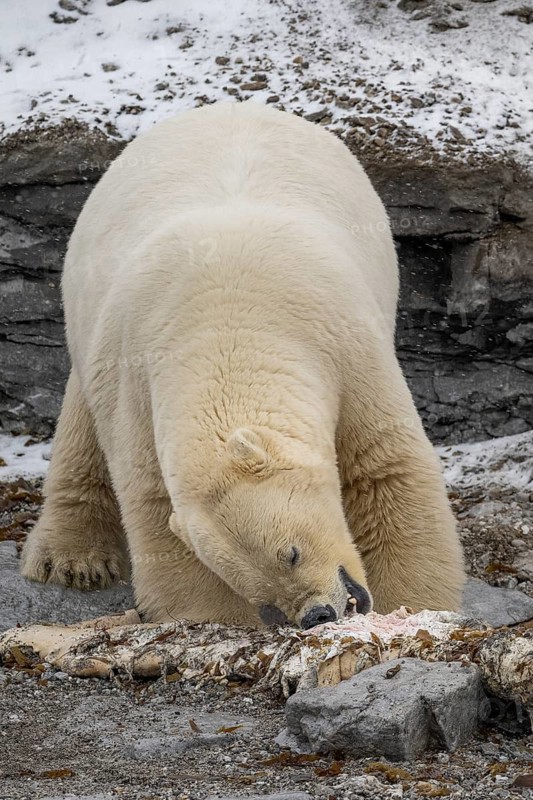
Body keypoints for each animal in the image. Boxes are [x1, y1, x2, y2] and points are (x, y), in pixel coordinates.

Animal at [21, 102, 465, 628]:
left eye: (291, 552)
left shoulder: (343, 345)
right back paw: (72, 561)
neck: (228, 331)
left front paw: (413, 605)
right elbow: (156, 515)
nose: (317, 614)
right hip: (87, 323)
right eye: (259, 593)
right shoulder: (137, 384)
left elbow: (384, 469)